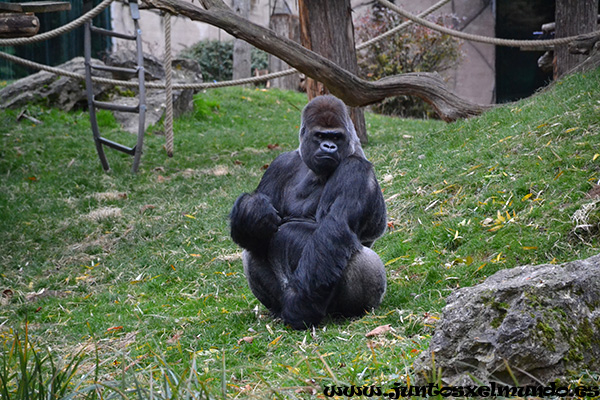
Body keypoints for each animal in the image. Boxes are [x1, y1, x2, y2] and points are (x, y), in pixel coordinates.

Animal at [230, 95, 390, 330]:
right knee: (252, 247)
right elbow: (253, 228)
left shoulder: (355, 169)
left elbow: (333, 228)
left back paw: (350, 313)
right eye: (320, 135)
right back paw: (276, 310)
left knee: (361, 259)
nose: (329, 146)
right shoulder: (280, 164)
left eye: (336, 137)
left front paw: (299, 307)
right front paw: (253, 211)